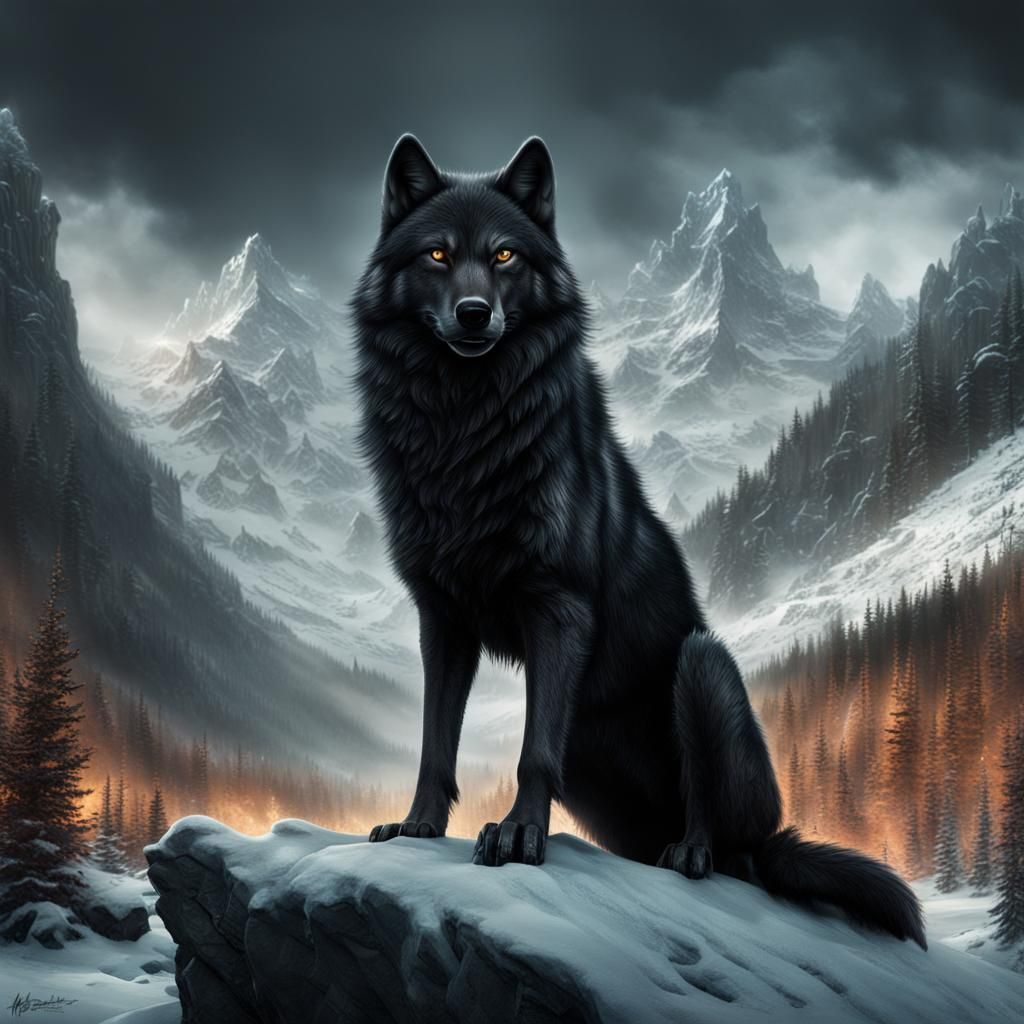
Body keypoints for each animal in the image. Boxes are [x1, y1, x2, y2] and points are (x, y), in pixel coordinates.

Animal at [352, 134, 926, 949]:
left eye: (503, 257)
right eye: (437, 254)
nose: (473, 314)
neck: (464, 422)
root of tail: (770, 841)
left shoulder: (559, 607)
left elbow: (531, 752)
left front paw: (519, 836)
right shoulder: (444, 619)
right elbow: (437, 741)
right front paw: (417, 827)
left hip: (702, 664)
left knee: (719, 838)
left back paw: (690, 853)